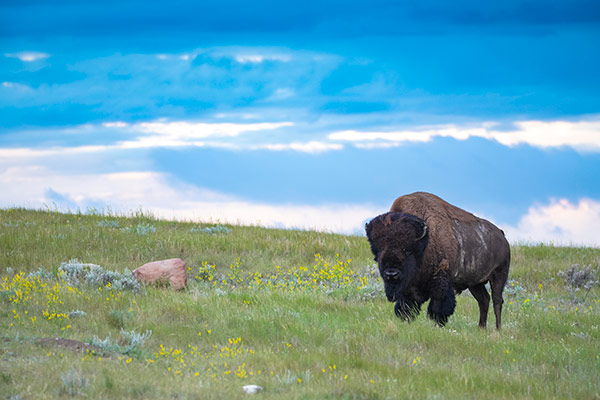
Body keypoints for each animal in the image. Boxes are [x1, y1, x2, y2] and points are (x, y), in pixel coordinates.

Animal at [366, 193, 510, 328]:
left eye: (407, 250)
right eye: (378, 250)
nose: (391, 274)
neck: (424, 242)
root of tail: (502, 236)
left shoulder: (441, 279)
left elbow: (438, 307)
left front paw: (438, 324)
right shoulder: (409, 288)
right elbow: (406, 306)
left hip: (499, 275)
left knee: (497, 301)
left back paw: (497, 329)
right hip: (475, 283)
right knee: (484, 300)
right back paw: (481, 328)